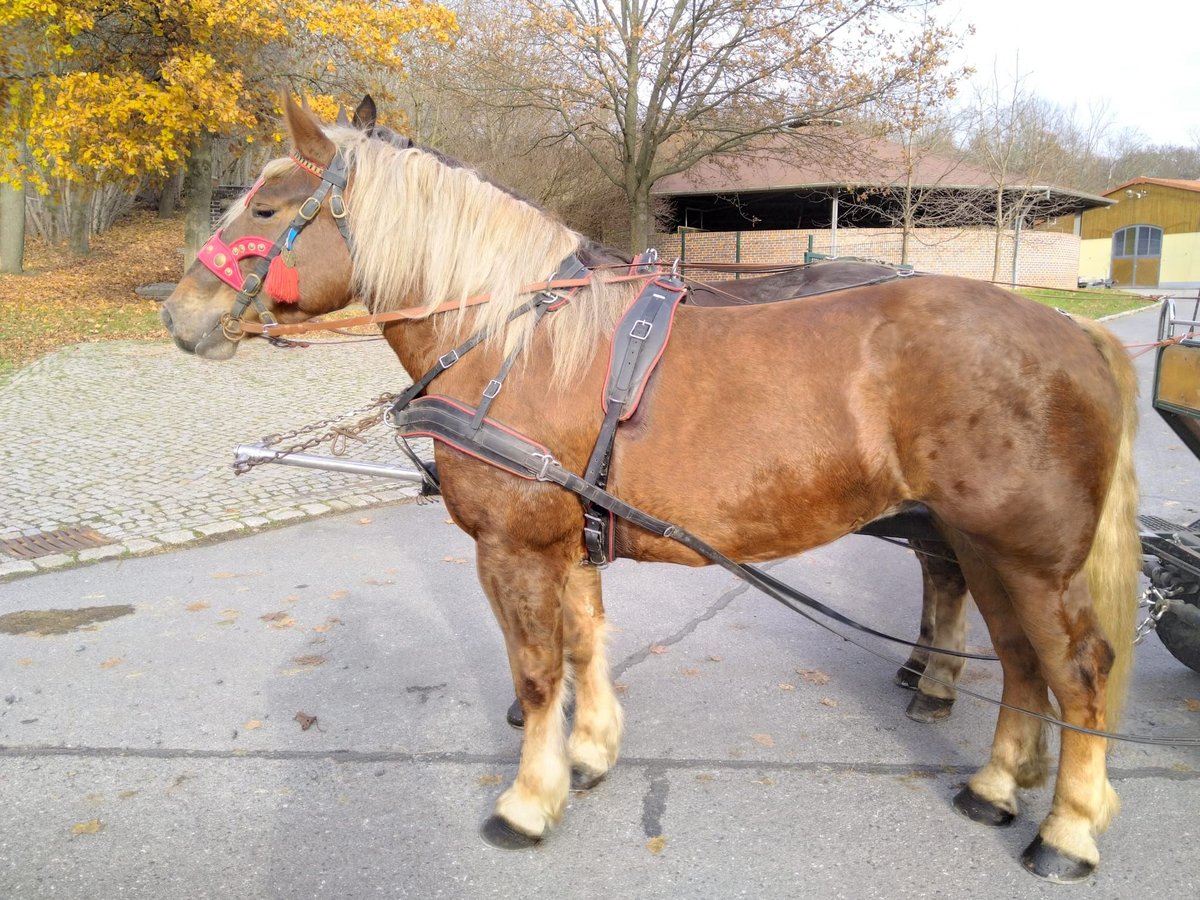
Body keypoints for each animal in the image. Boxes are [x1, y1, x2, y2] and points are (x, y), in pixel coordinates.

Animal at [157, 95, 1132, 883]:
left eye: (268, 207)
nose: (178, 314)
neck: (512, 339)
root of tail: (1072, 332)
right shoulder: (572, 540)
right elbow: (587, 644)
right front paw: (588, 754)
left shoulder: (514, 548)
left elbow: (539, 671)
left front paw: (529, 799)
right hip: (986, 543)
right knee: (1019, 660)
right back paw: (997, 781)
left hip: (1030, 553)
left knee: (1077, 671)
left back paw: (1066, 830)